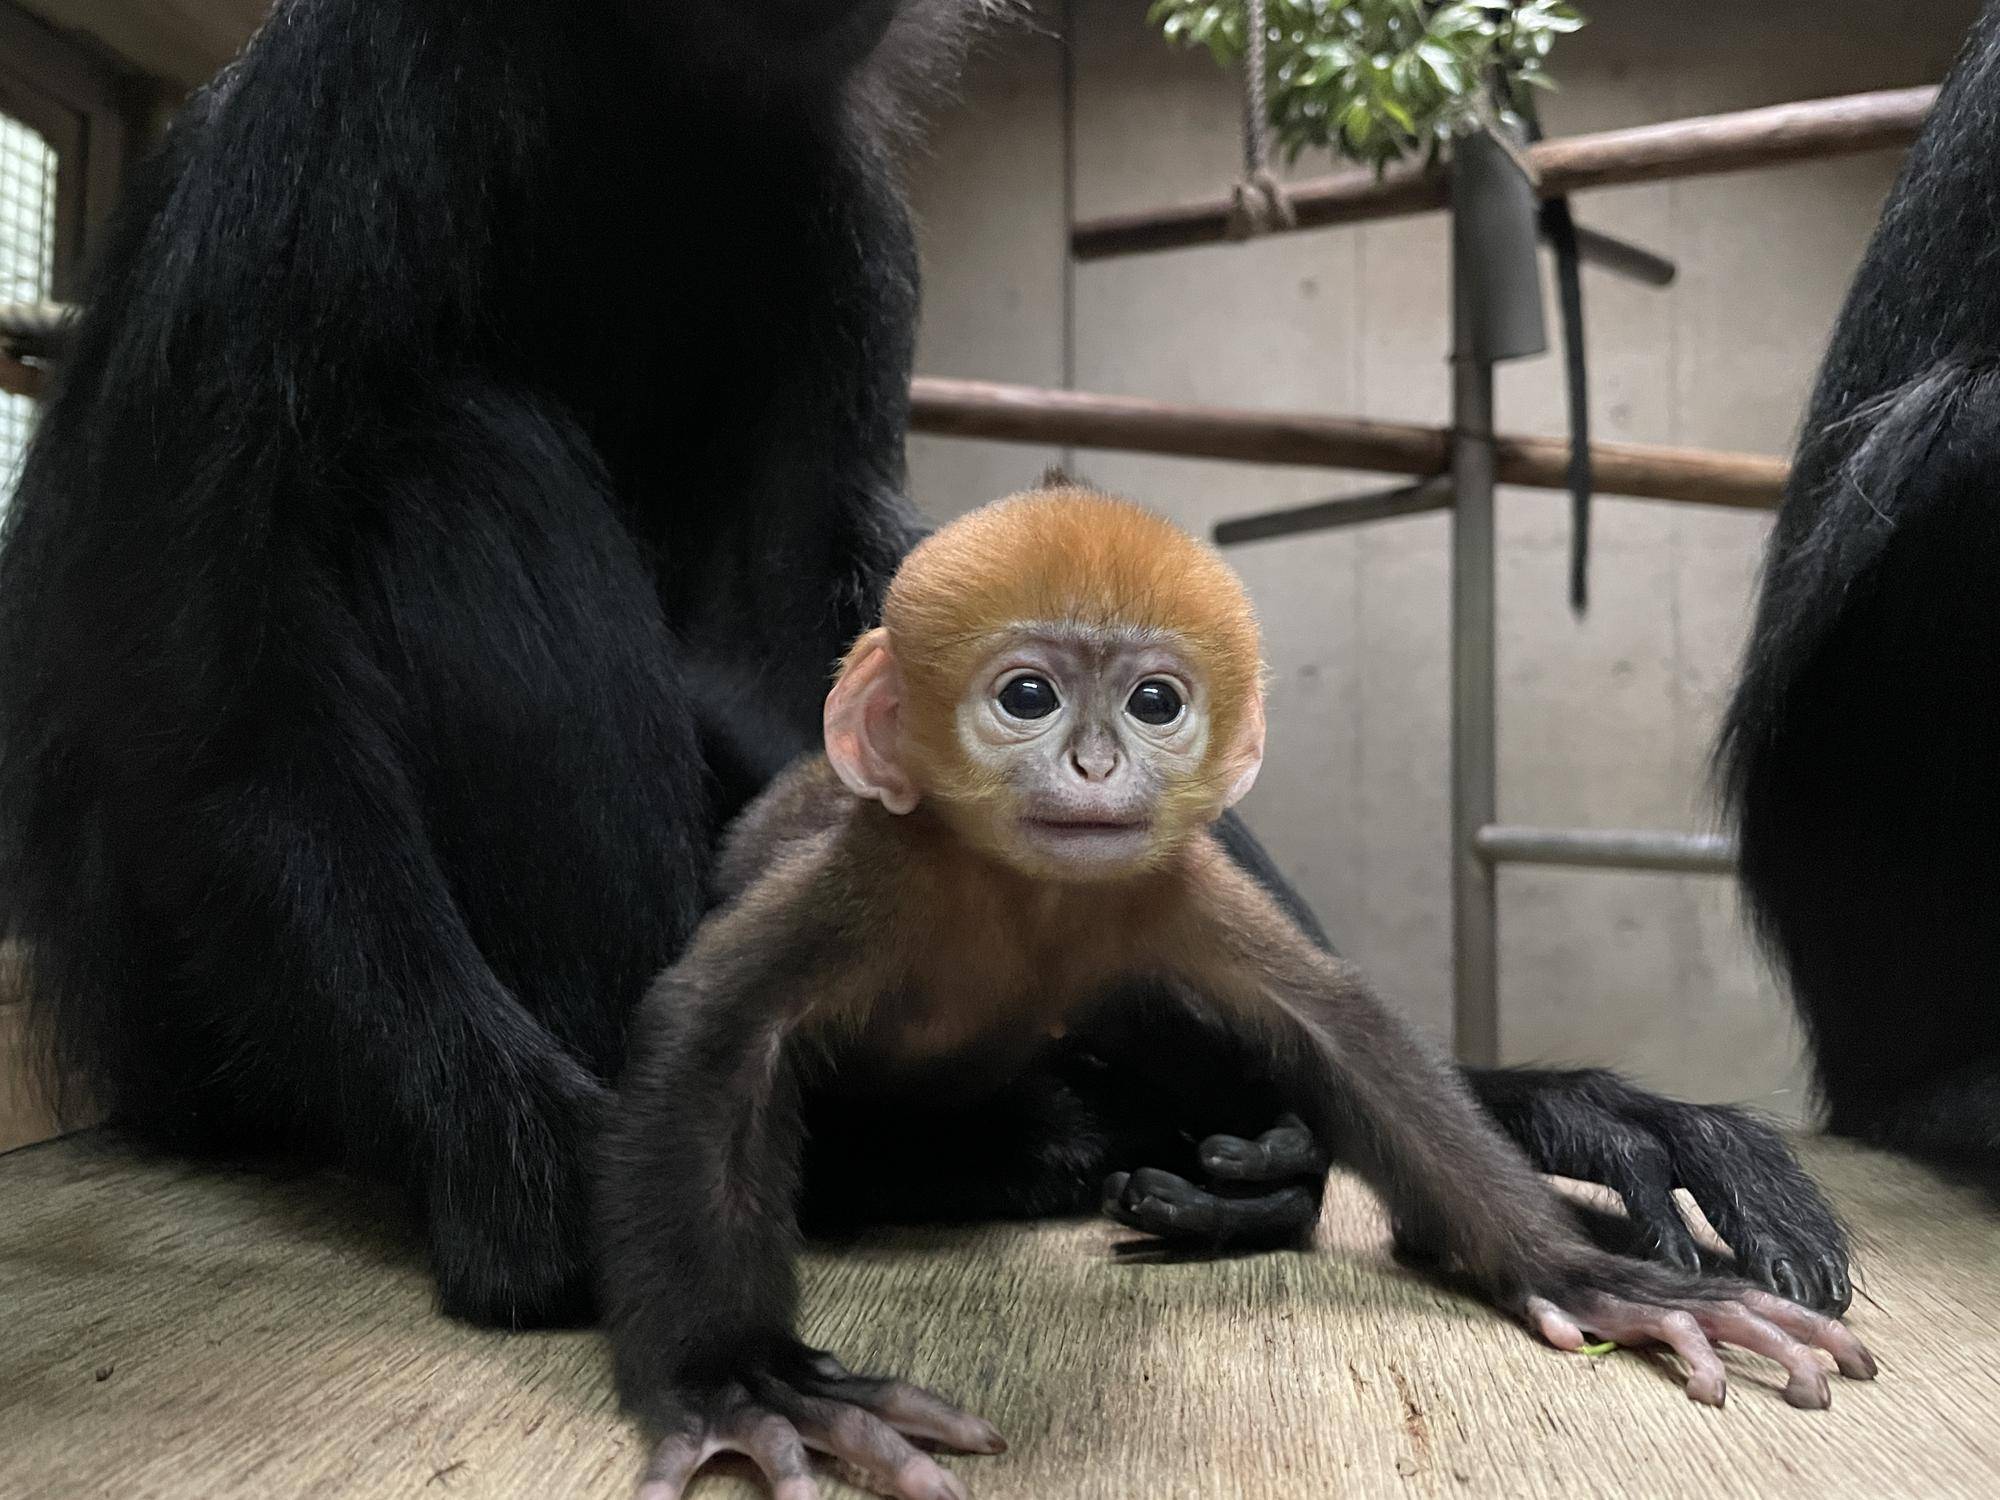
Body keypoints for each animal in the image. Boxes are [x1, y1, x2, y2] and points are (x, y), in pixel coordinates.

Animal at [0, 0, 1840, 1328]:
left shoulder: (814, 180)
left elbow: (783, 630)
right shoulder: (347, 97)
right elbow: (205, 679)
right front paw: (532, 1157)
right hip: (199, 1017)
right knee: (439, 460)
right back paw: (922, 1145)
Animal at [596, 488, 1872, 1496]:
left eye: (1154, 703)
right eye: (1026, 697)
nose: (1096, 768)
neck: (1028, 901)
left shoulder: (1177, 884)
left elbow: (1343, 1036)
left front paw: (1589, 1277)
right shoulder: (869, 875)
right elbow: (713, 1033)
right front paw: (741, 1381)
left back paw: (1248, 1185)